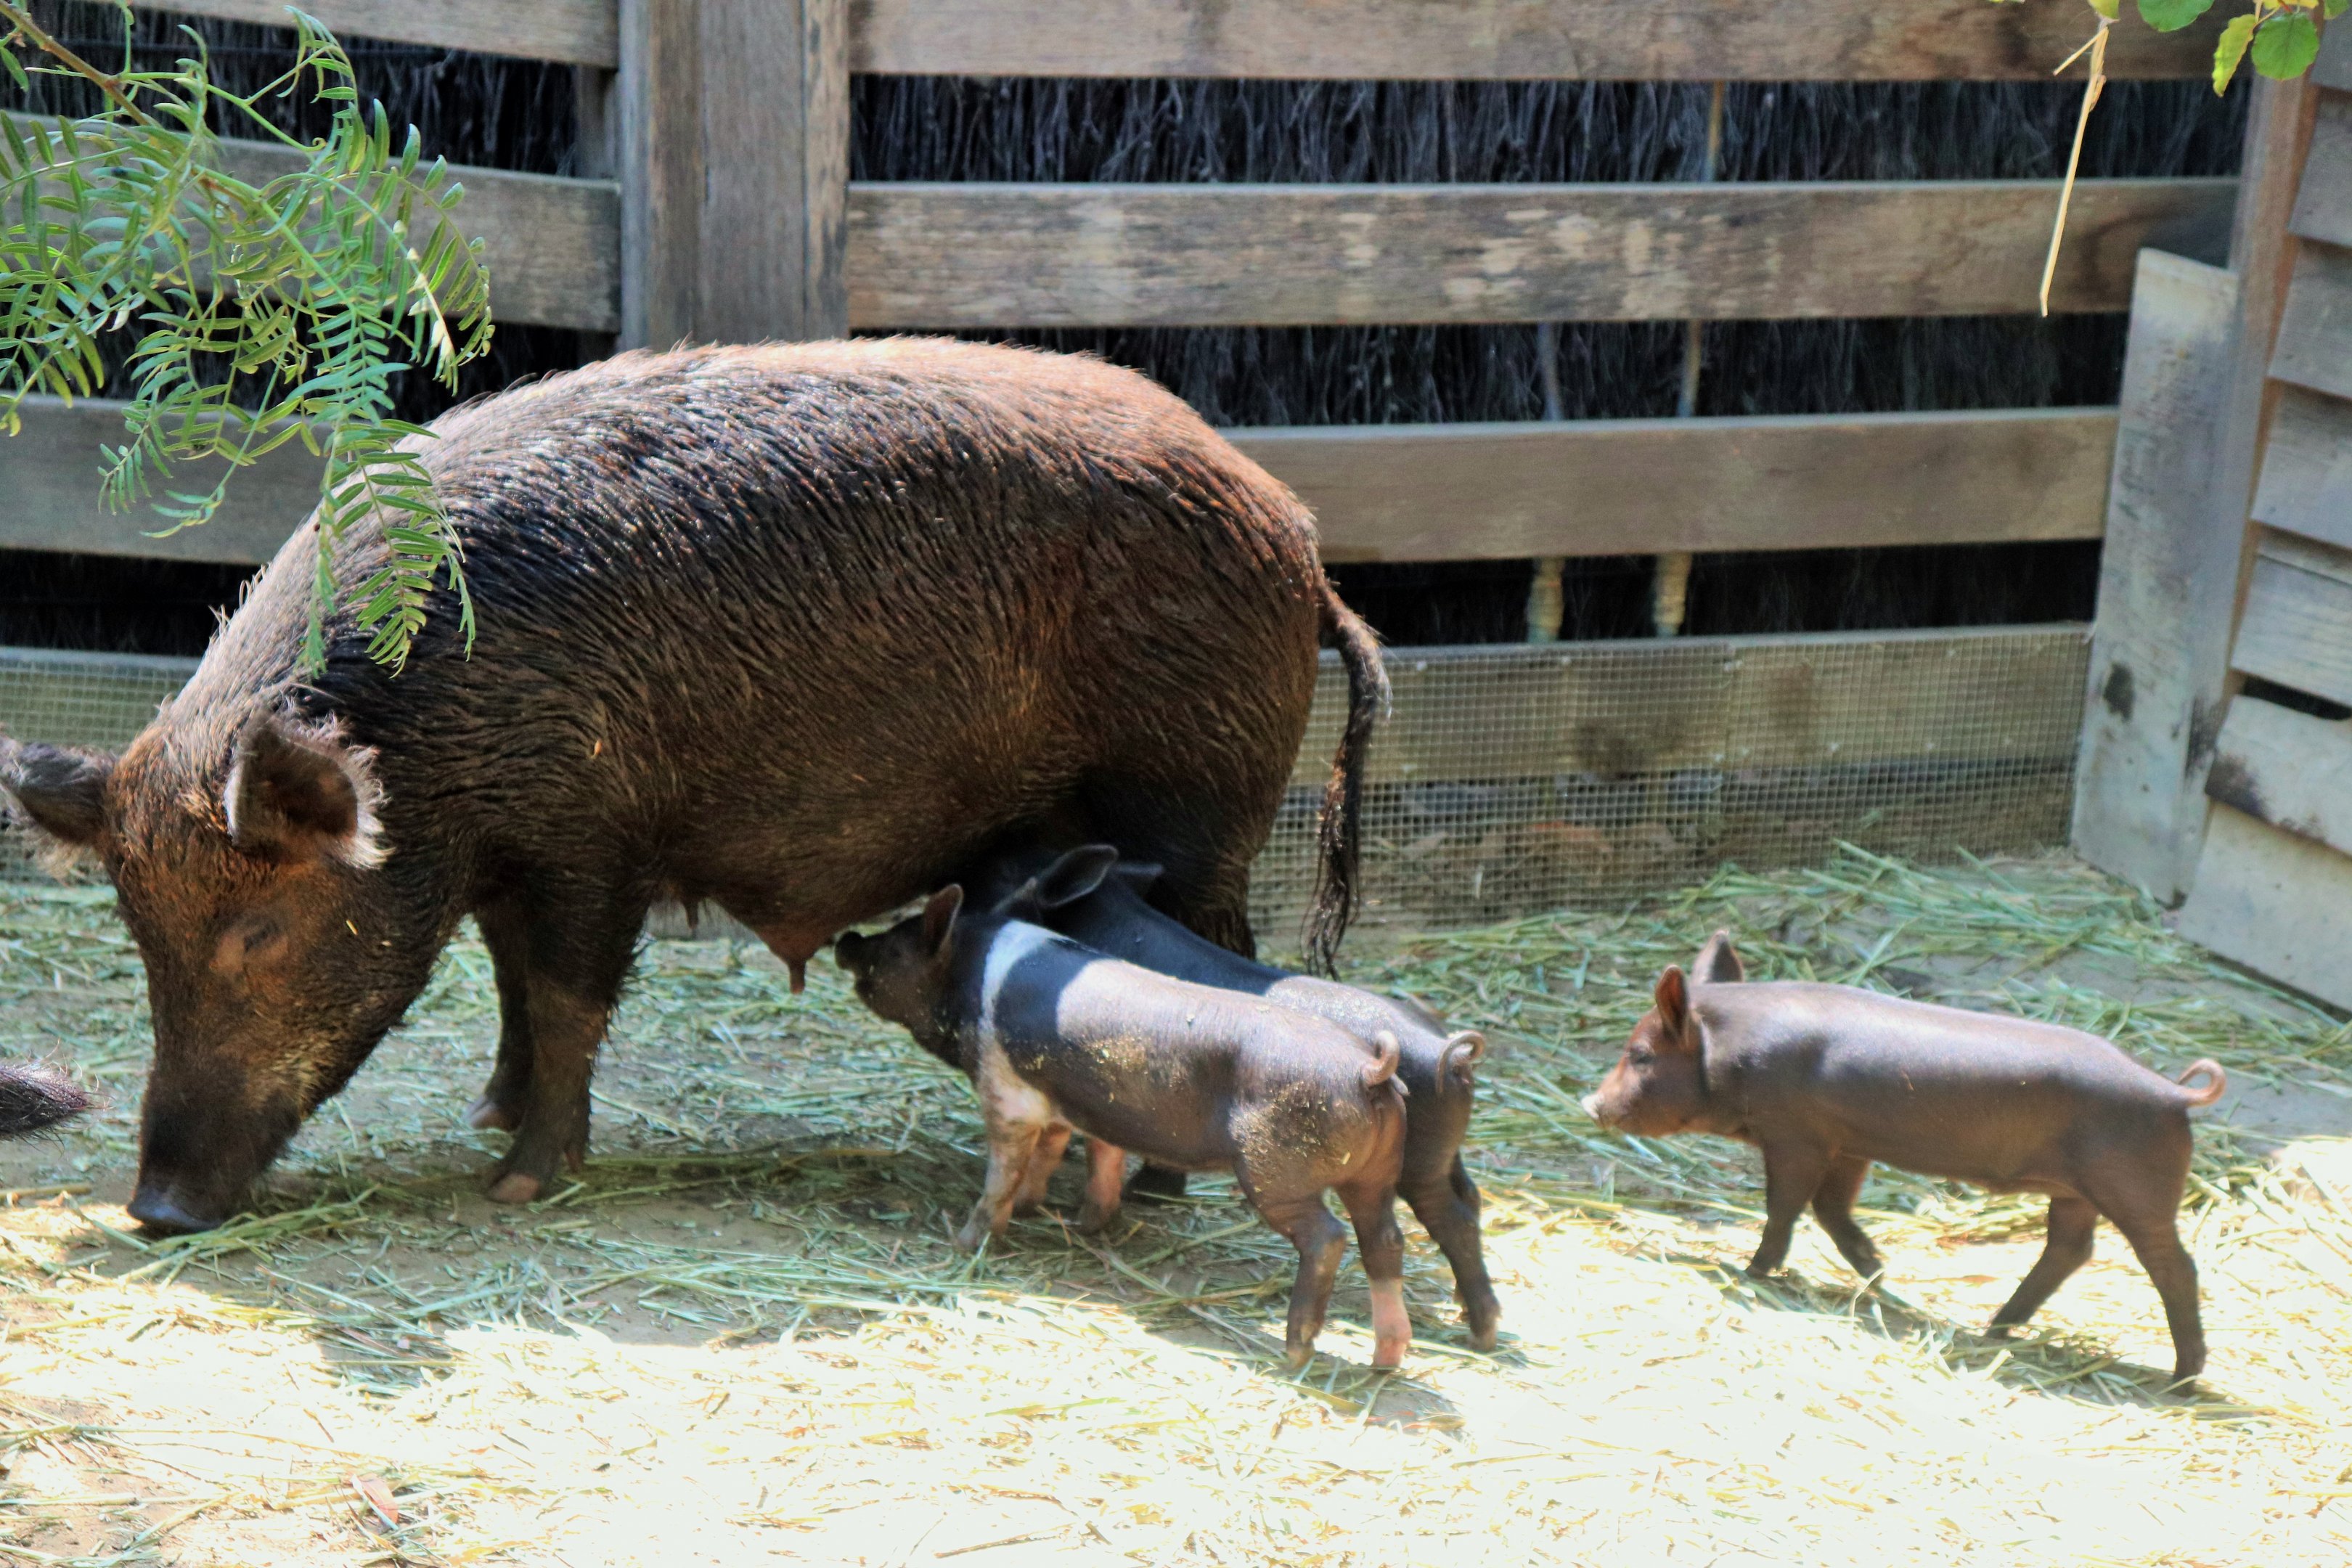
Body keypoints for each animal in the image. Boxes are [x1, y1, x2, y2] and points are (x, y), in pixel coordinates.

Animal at [0, 338, 1386, 1234]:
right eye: (140, 942)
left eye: (258, 931)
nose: (154, 1208)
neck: (434, 736)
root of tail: (1302, 543)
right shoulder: (508, 857)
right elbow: (512, 989)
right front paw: (488, 1122)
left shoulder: (593, 839)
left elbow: (568, 998)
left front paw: (521, 1185)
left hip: (1194, 806)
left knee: (1222, 959)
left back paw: (1161, 1191)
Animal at [835, 886, 1414, 1369]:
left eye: (895, 948)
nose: (848, 939)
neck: (972, 976)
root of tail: (1368, 1070)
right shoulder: (1080, 1106)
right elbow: (1083, 1155)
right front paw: (1072, 1219)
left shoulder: (1006, 1093)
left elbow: (1002, 1174)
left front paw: (966, 1242)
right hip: (1377, 1173)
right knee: (1386, 1239)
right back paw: (1385, 1360)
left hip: (1276, 1168)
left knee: (1328, 1238)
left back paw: (1296, 1354)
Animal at [973, 843, 1499, 1349]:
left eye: (1005, 871)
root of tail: (1449, 1053)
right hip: (1441, 1151)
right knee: (1469, 1200)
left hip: (1416, 1162)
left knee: (1448, 1216)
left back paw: (1479, 1333)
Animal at [1583, 931, 2227, 1383]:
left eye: (1639, 1055)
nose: (1590, 1102)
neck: (1733, 1055)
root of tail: (2173, 1093)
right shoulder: (1848, 1142)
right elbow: (1832, 1211)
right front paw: (1880, 1272)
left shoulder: (1797, 1135)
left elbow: (1784, 1207)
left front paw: (1750, 1272)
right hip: (2074, 1192)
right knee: (2070, 1249)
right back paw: (1994, 1328)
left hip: (2135, 1188)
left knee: (2173, 1266)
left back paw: (2181, 1377)